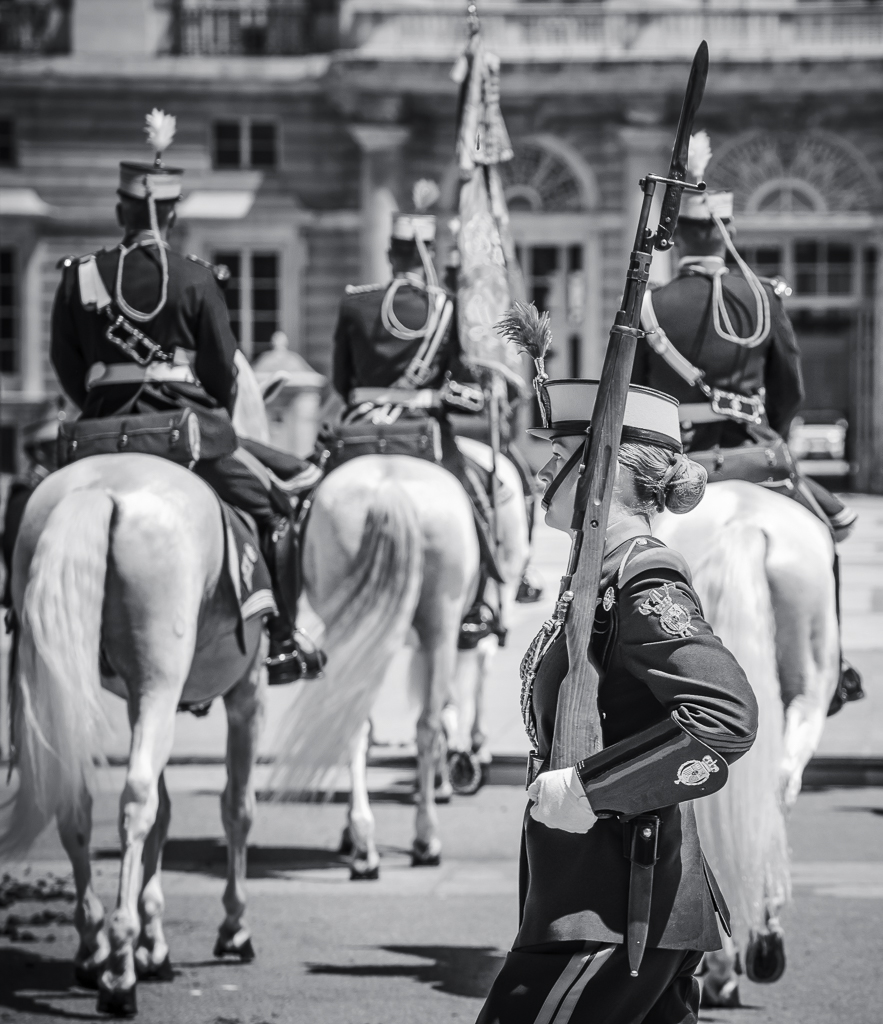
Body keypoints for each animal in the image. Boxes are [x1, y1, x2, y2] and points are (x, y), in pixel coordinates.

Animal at [0, 352, 272, 1015]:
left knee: (78, 802)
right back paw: (118, 971)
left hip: (97, 682)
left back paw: (92, 945)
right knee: (135, 801)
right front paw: (231, 927)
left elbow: (170, 816)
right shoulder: (245, 692)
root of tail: (98, 490)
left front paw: (156, 940)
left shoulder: (143, 700)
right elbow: (235, 807)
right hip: (162, 684)